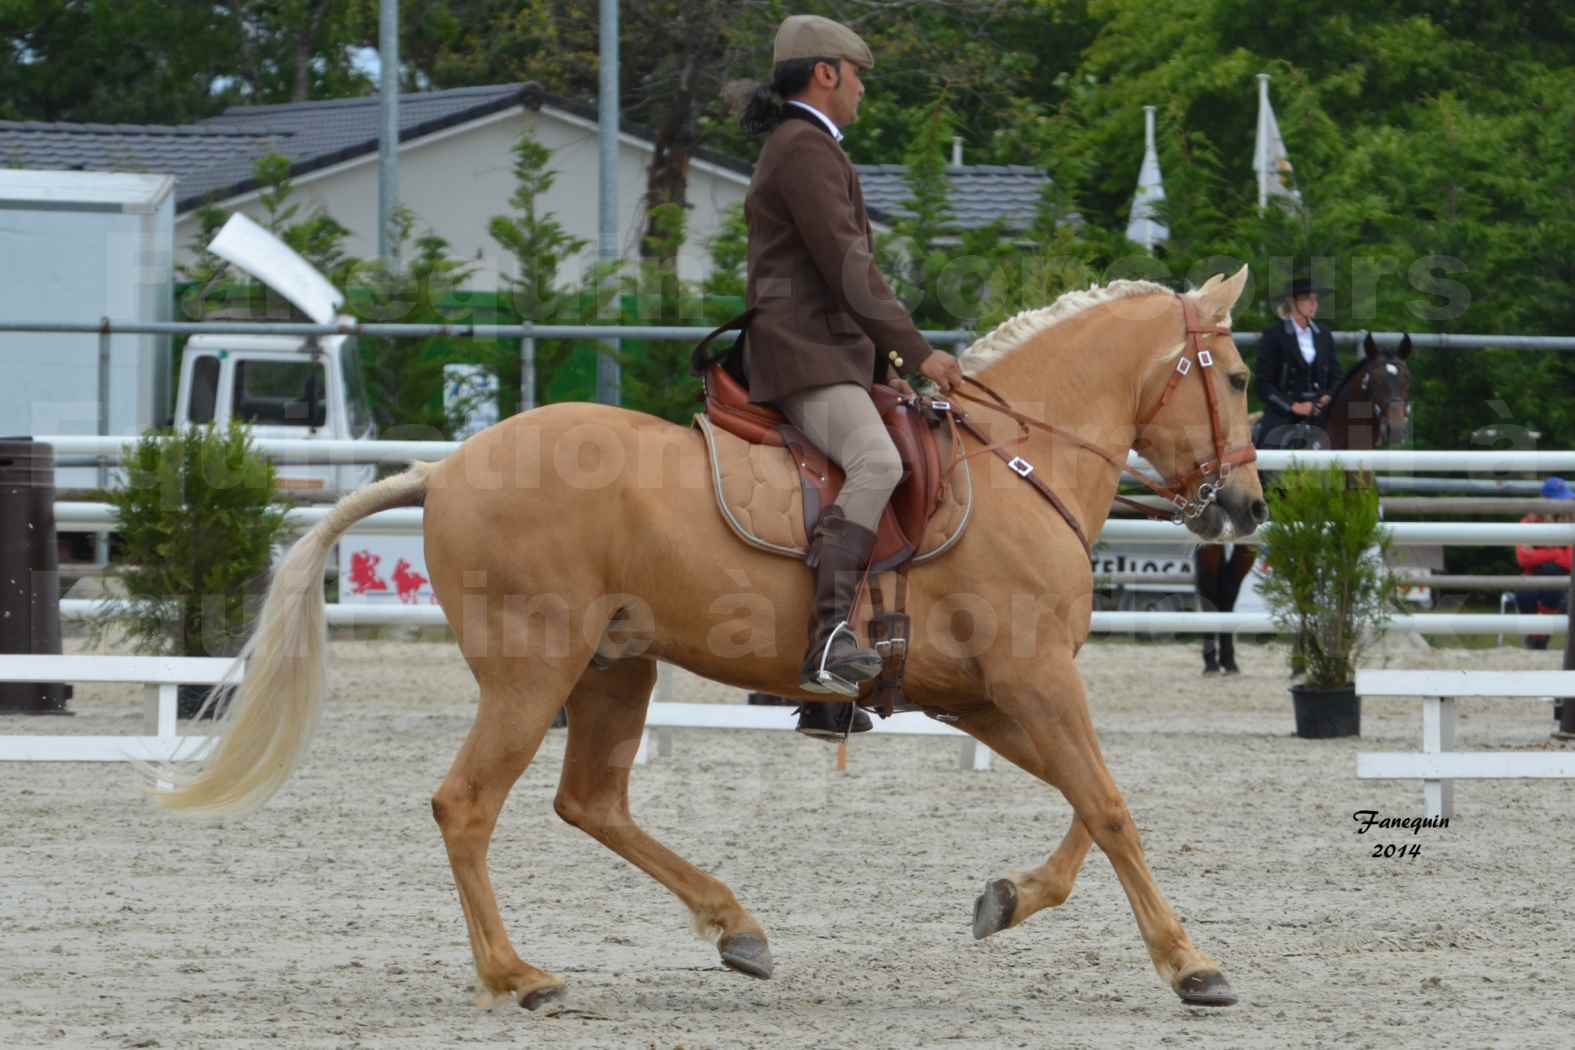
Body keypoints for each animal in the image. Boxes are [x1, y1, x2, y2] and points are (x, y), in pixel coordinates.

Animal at [1190, 335, 1417, 673]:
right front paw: (1302, 659)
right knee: (1211, 586)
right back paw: (1211, 660)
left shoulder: (1349, 534)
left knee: (1228, 586)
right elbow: (1304, 587)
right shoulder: (1301, 527)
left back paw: (1229, 660)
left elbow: (1341, 587)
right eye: (1375, 380)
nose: (1397, 429)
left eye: (1406, 378)